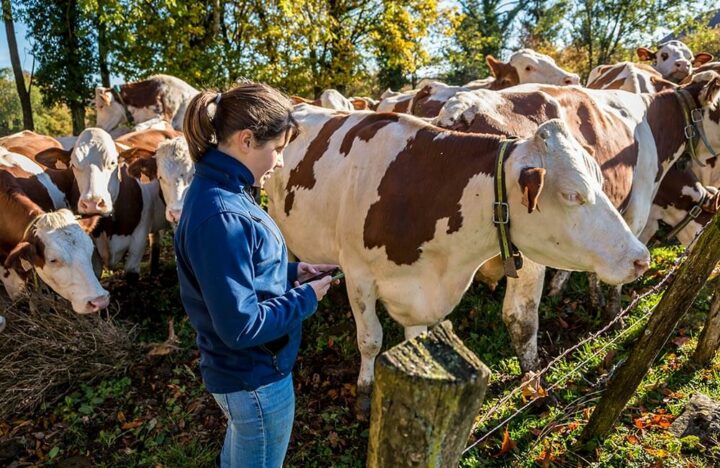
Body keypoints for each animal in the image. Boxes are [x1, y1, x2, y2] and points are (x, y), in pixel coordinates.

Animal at [268, 105, 648, 414]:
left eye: (600, 181)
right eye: (572, 194)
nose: (640, 258)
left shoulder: (418, 292)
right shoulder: (358, 274)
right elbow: (370, 339)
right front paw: (364, 392)